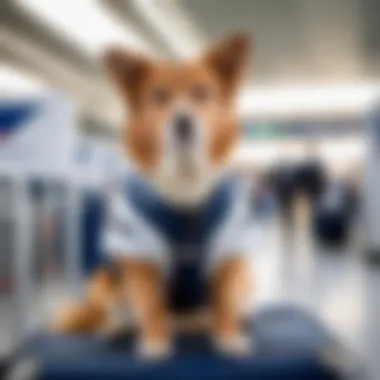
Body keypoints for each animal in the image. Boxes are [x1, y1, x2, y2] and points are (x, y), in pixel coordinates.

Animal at [52, 32, 255, 360]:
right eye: (159, 97)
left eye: (202, 94)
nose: (183, 122)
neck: (184, 187)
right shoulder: (139, 252)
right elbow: (151, 305)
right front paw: (154, 344)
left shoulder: (228, 247)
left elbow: (224, 301)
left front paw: (229, 338)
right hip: (102, 277)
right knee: (114, 312)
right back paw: (116, 329)